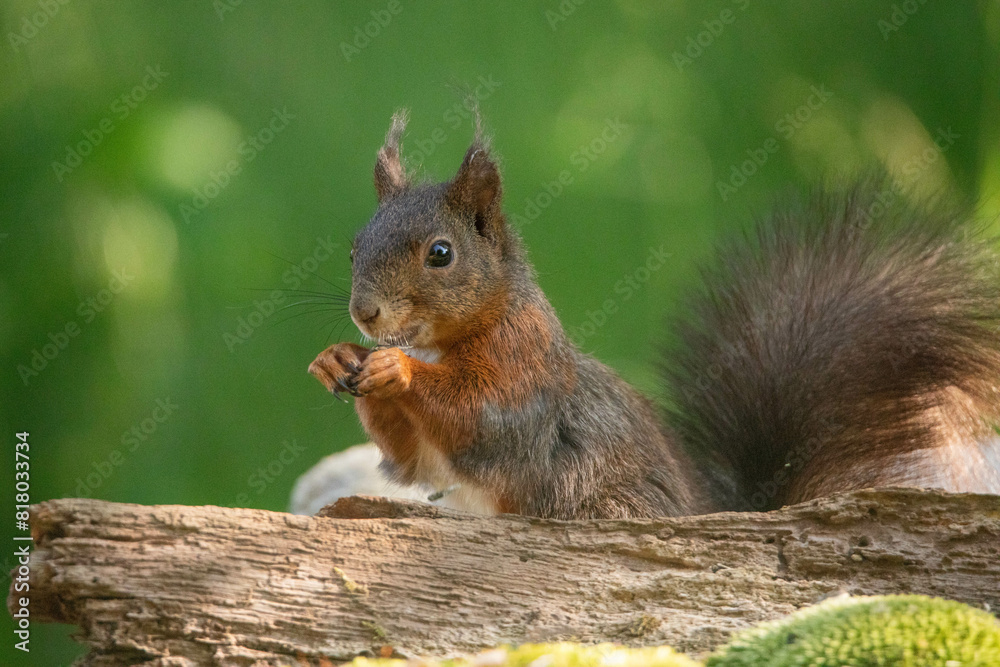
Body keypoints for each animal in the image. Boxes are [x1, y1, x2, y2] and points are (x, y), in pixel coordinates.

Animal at [307, 109, 1000, 519]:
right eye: (354, 247)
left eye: (441, 253)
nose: (365, 314)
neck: (448, 338)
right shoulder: (423, 457)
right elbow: (411, 458)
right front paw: (337, 359)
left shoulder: (524, 371)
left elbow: (481, 418)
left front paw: (395, 369)